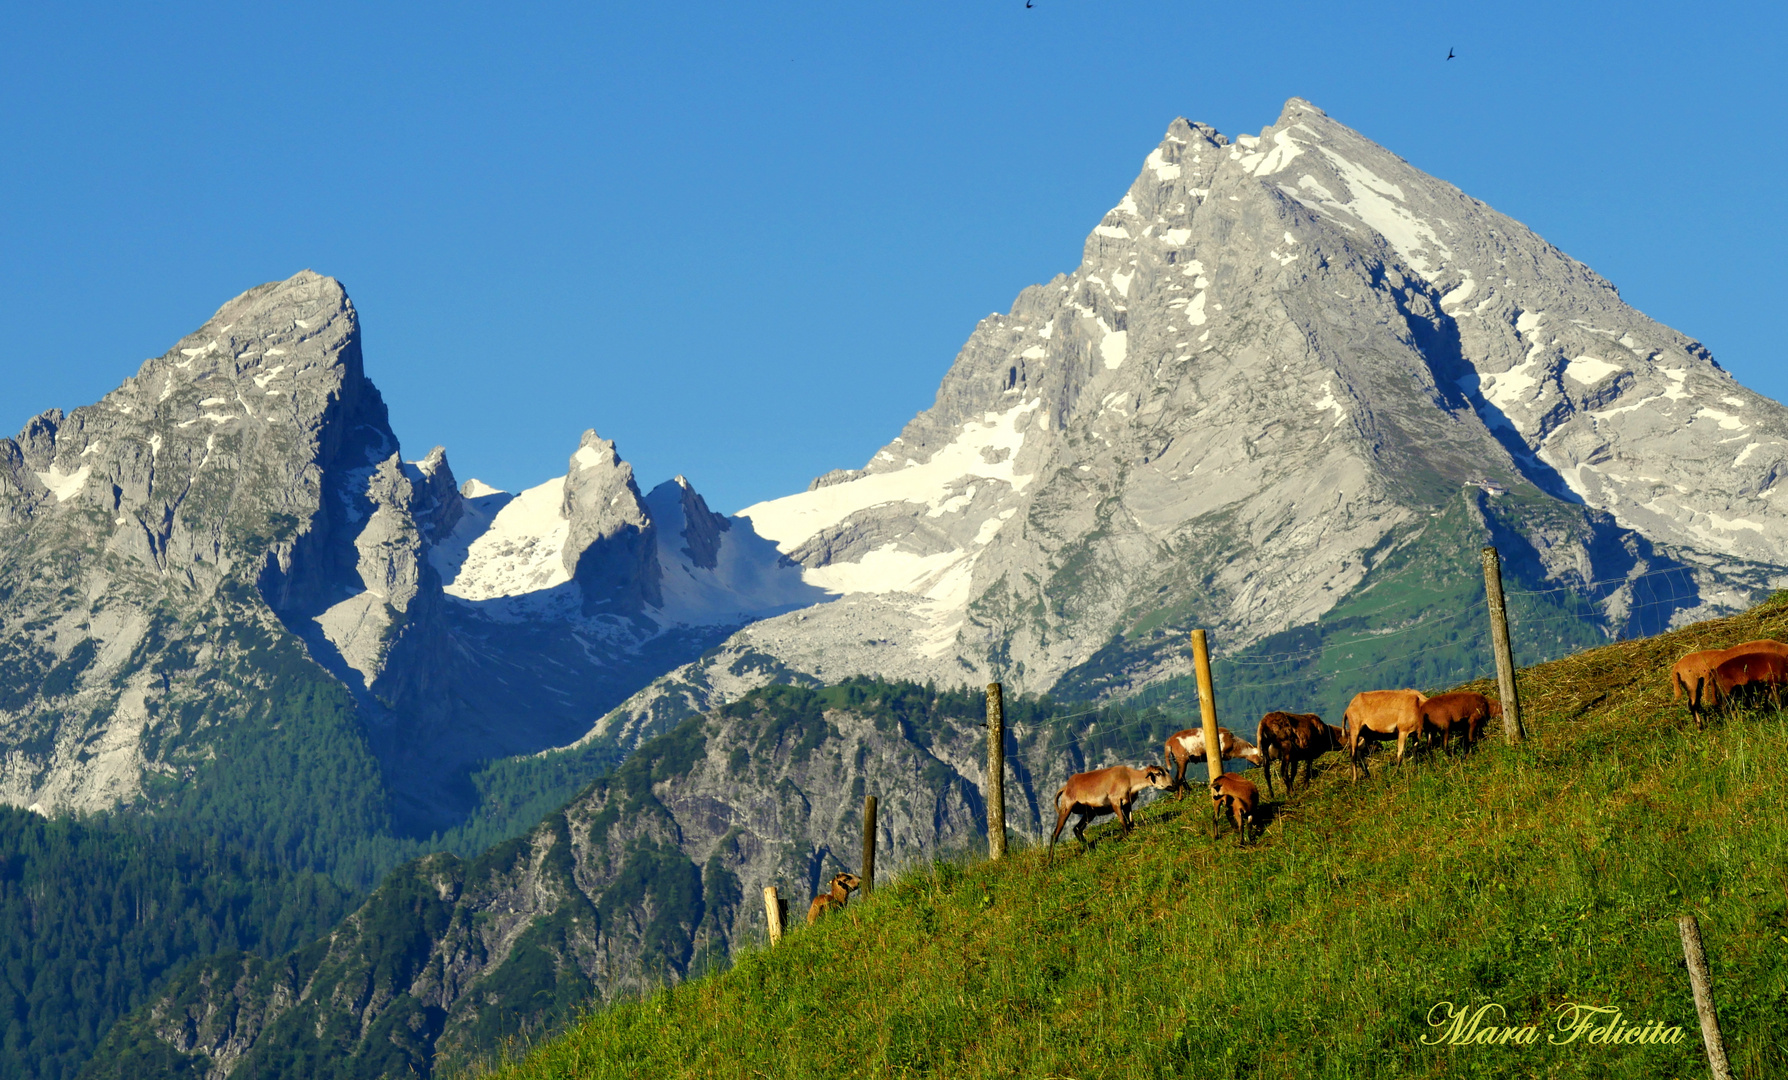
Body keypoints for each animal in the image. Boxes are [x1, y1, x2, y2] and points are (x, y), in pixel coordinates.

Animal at [1044, 765, 1172, 865]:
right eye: (1158, 773)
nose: (1173, 785)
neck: (1129, 778)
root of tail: (1066, 787)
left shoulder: (1127, 804)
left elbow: (1131, 822)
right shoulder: (1115, 801)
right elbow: (1123, 821)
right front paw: (1123, 837)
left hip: (1090, 812)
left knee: (1077, 829)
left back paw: (1090, 849)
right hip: (1066, 807)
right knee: (1055, 834)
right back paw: (1050, 862)